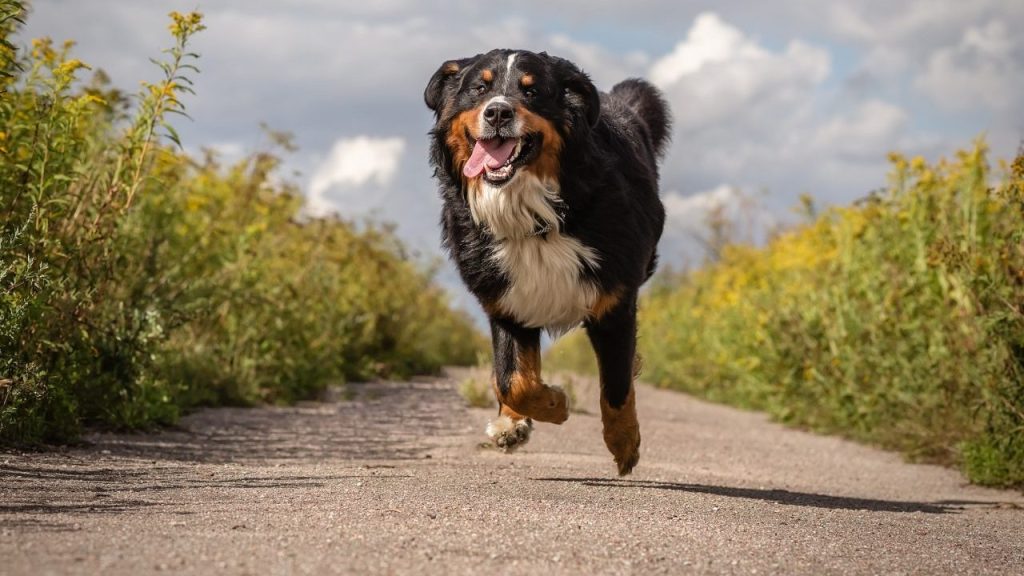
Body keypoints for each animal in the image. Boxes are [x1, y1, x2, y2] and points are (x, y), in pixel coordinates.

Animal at [421, 48, 667, 471]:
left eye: (531, 91)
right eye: (479, 88)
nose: (497, 113)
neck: (530, 213)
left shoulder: (614, 301)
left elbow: (616, 386)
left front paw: (624, 443)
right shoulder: (506, 299)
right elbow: (513, 380)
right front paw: (552, 404)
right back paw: (510, 423)